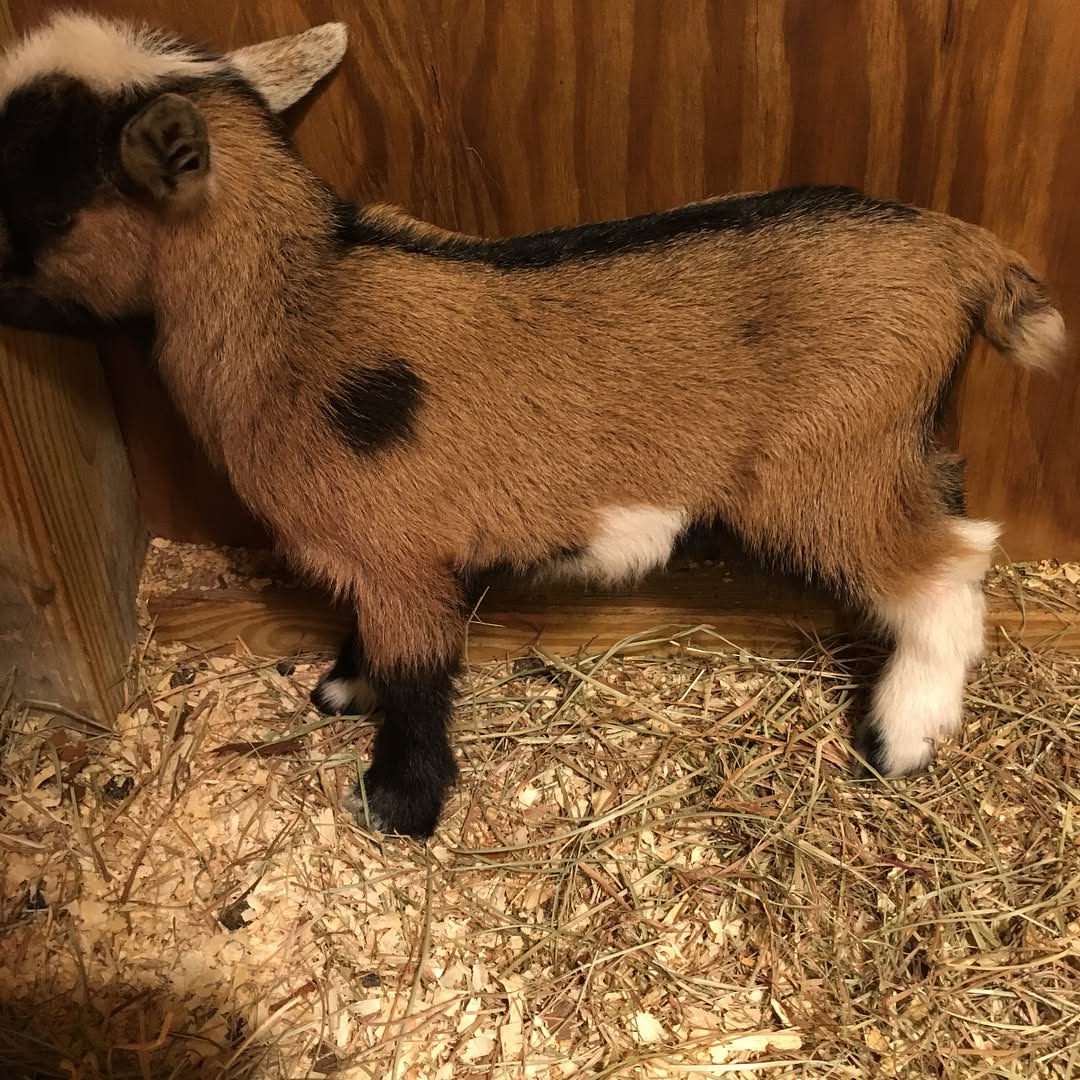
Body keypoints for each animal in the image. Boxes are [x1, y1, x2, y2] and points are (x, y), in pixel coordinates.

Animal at [0, 14, 1066, 837]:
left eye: (43, 211)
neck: (298, 304)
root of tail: (956, 251)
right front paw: (343, 689)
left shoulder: (398, 557)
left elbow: (419, 673)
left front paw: (397, 804)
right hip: (898, 441)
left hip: (826, 465)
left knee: (948, 563)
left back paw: (904, 736)